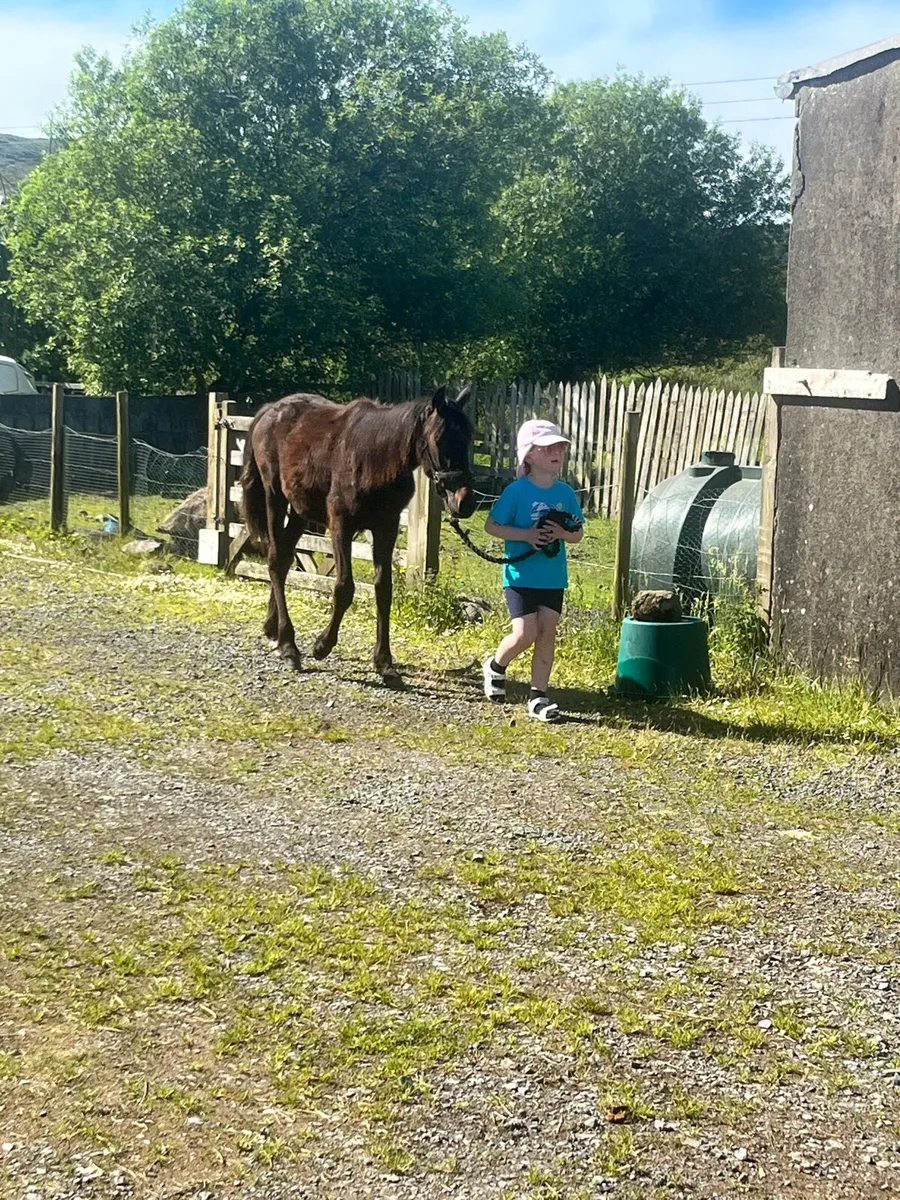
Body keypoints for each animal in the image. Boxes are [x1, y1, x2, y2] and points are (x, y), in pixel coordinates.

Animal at [240, 385, 476, 681]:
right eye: (439, 438)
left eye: (468, 438)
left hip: (299, 511)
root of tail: (269, 410)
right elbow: (344, 588)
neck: (375, 457)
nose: (465, 502)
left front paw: (384, 662)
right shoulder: (341, 525)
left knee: (283, 560)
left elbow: (384, 590)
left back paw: (273, 628)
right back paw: (288, 646)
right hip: (275, 497)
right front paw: (322, 645)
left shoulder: (386, 527)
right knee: (274, 560)